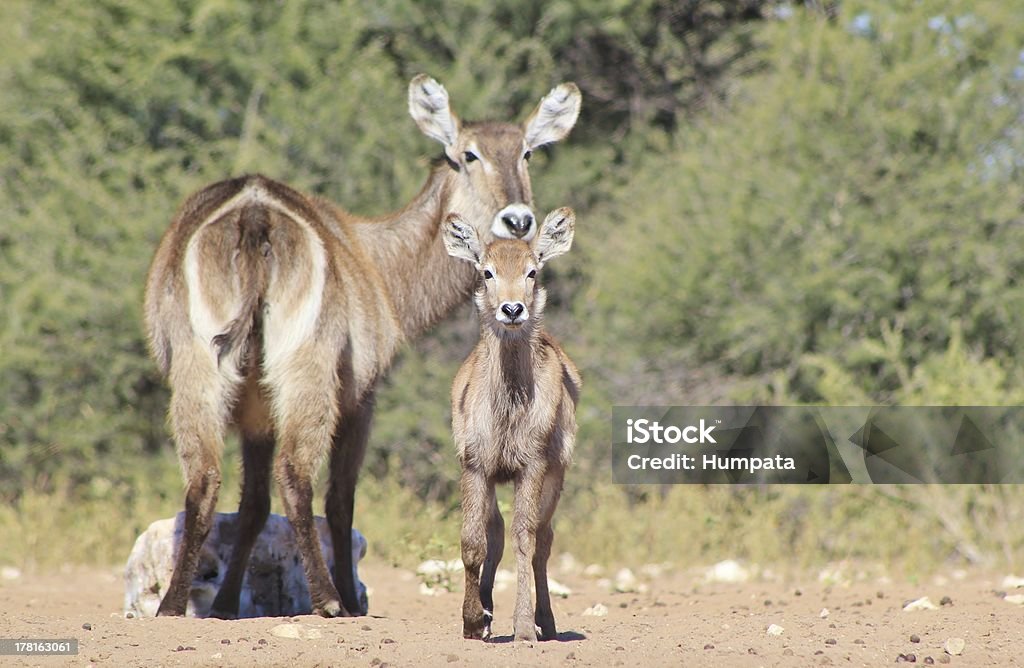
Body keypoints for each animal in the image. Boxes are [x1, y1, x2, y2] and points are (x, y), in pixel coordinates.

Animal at [444, 209, 581, 643]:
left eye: (532, 270)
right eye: (486, 271)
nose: (512, 309)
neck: (507, 411)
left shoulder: (532, 465)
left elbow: (527, 538)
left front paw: (523, 627)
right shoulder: (475, 464)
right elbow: (473, 541)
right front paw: (474, 621)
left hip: (556, 475)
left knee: (543, 539)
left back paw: (546, 622)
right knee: (496, 530)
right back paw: (488, 611)